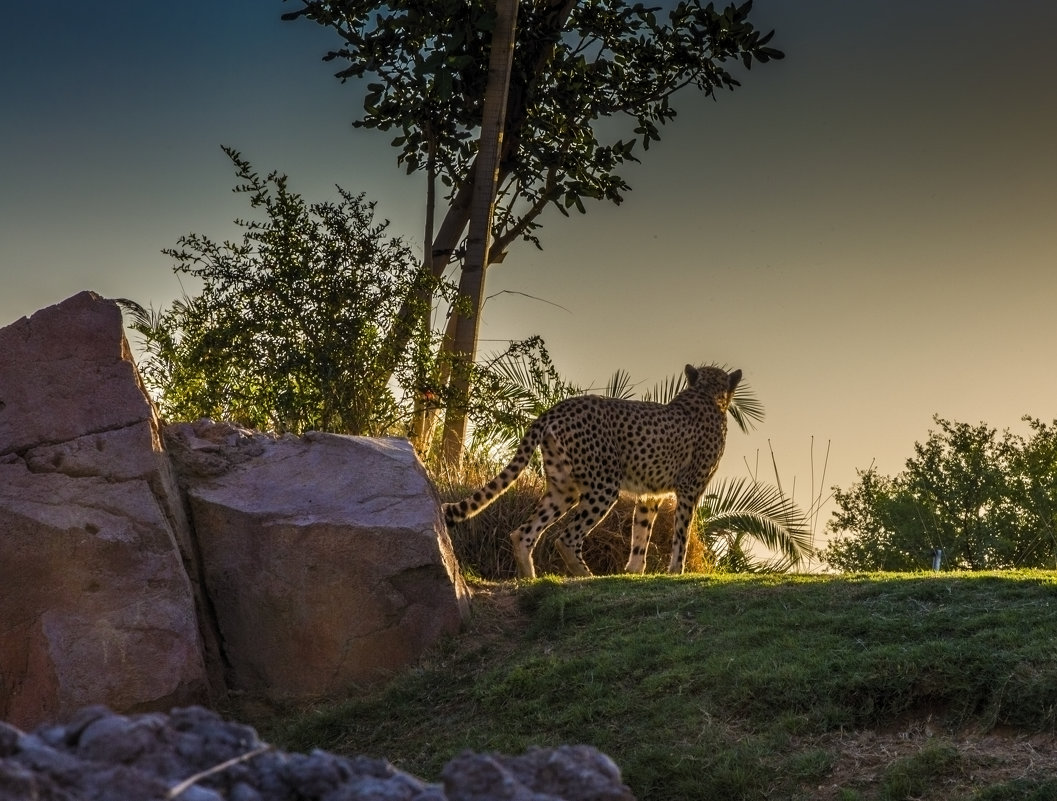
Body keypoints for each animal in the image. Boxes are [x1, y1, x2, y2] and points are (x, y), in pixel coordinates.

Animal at [441, 363, 739, 579]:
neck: (708, 394)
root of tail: (557, 408)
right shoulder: (690, 487)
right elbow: (682, 532)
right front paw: (676, 570)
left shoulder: (650, 493)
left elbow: (641, 533)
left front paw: (633, 572)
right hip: (604, 487)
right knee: (566, 537)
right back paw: (586, 576)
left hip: (564, 488)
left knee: (523, 533)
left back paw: (529, 579)